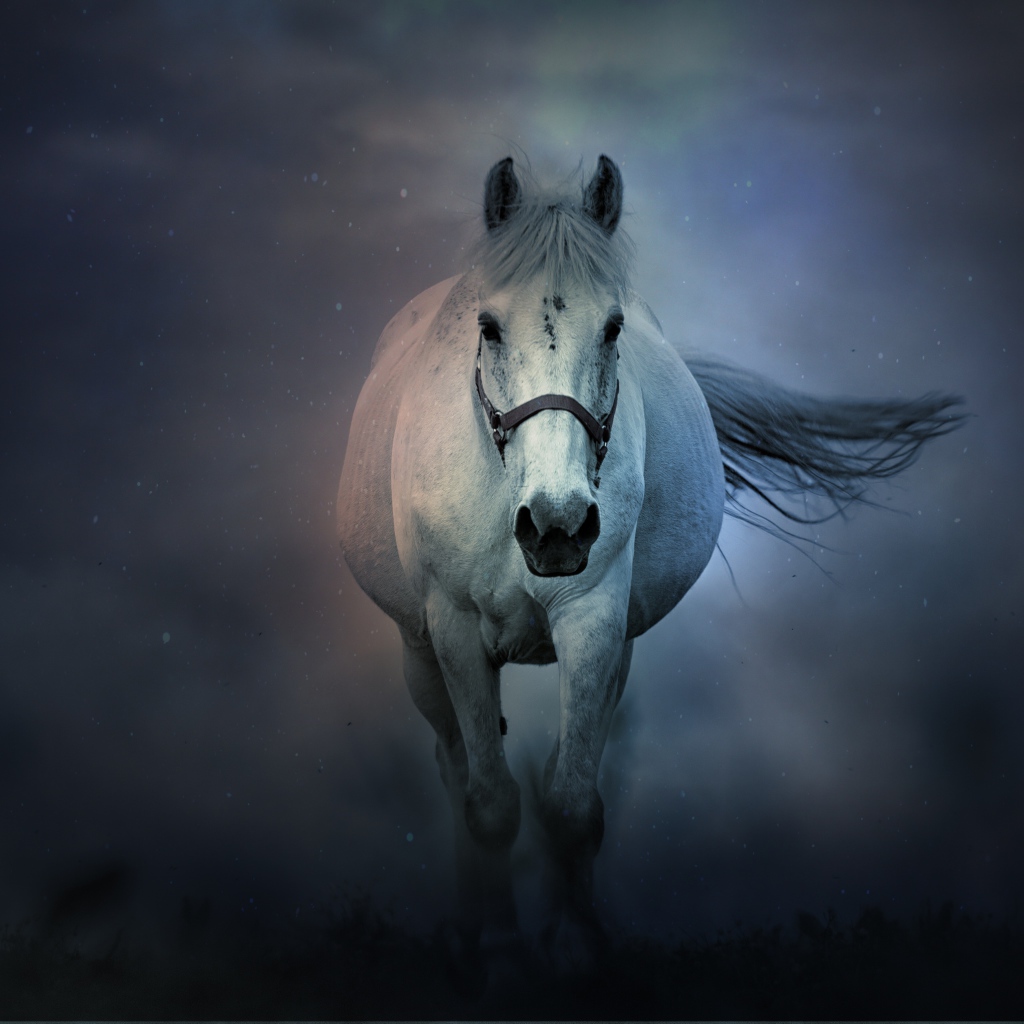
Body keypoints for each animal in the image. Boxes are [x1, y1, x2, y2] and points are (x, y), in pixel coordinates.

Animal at [336, 155, 964, 969]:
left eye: (613, 328)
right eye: (488, 326)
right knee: (455, 769)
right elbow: (491, 803)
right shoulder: (455, 630)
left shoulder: (596, 620)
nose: (557, 526)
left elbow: (572, 804)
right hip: (419, 655)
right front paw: (501, 948)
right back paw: (472, 925)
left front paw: (578, 946)